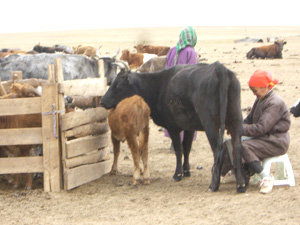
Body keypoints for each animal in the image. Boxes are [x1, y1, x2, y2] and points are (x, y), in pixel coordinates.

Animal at [101, 61, 246, 193]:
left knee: (218, 150)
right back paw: (240, 185)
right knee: (237, 148)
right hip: (236, 121)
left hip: (210, 124)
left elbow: (178, 149)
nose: (102, 101)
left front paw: (178, 174)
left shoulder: (173, 127)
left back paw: (214, 185)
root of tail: (218, 68)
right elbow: (187, 148)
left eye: (117, 84)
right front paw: (186, 170)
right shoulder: (189, 127)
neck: (158, 86)